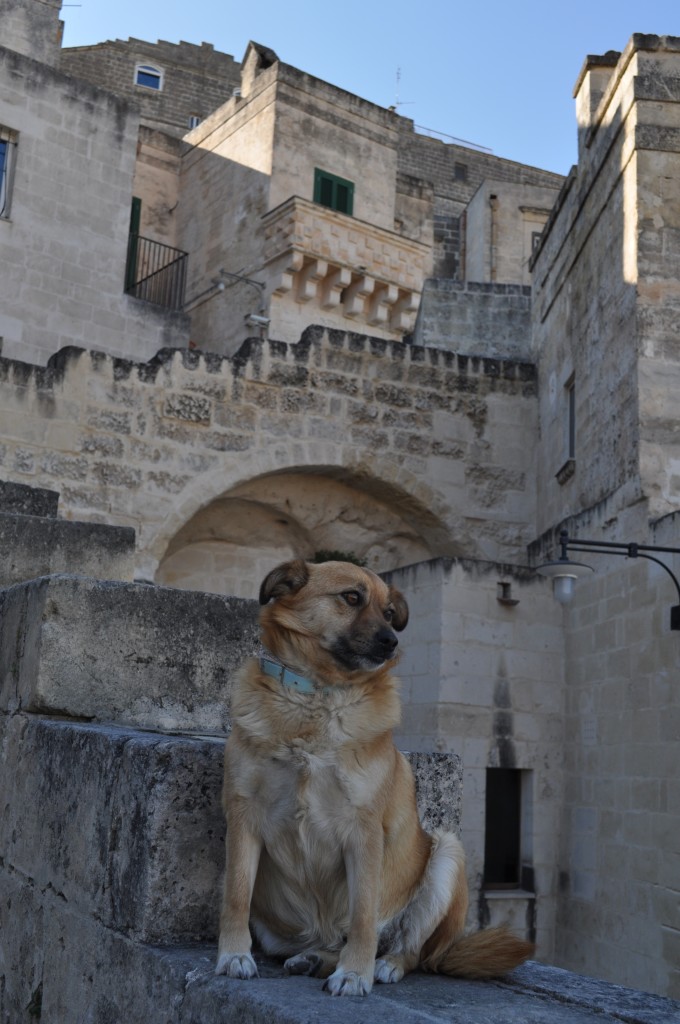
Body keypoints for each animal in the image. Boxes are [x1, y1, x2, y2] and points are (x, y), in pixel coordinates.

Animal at [215, 557, 532, 995]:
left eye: (388, 612)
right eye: (351, 598)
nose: (391, 643)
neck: (317, 696)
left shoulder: (363, 830)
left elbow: (363, 911)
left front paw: (355, 973)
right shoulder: (243, 815)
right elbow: (236, 895)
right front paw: (233, 954)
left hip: (447, 854)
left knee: (411, 950)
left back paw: (383, 965)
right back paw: (315, 958)